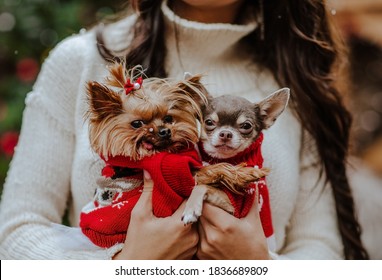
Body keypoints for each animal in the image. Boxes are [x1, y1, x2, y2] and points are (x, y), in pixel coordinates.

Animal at [78, 63, 268, 247]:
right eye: (137, 123)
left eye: (168, 118)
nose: (164, 131)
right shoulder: (173, 174)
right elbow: (211, 170)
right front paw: (246, 173)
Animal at [182, 88, 290, 249]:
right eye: (209, 122)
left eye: (246, 126)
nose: (226, 133)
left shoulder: (235, 208)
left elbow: (203, 187)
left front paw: (190, 209)